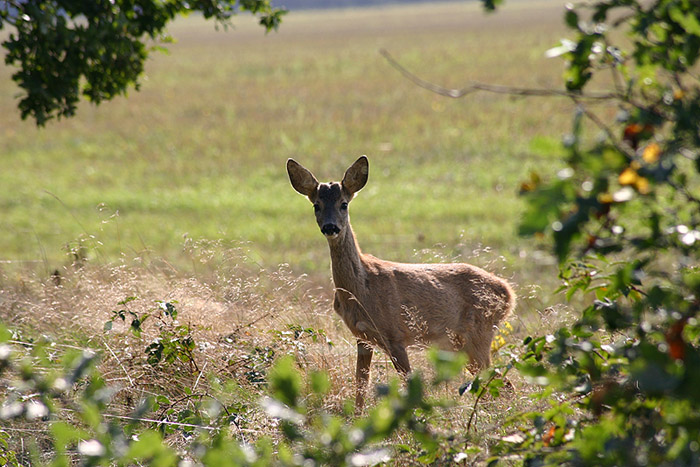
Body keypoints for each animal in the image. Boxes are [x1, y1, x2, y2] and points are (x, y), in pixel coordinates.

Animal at [284, 156, 516, 414]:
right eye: (316, 205)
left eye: (344, 204)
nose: (330, 227)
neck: (360, 290)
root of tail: (509, 293)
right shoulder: (363, 337)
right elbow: (361, 383)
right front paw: (356, 416)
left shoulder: (394, 334)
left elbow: (407, 382)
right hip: (459, 343)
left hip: (478, 334)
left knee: (502, 383)